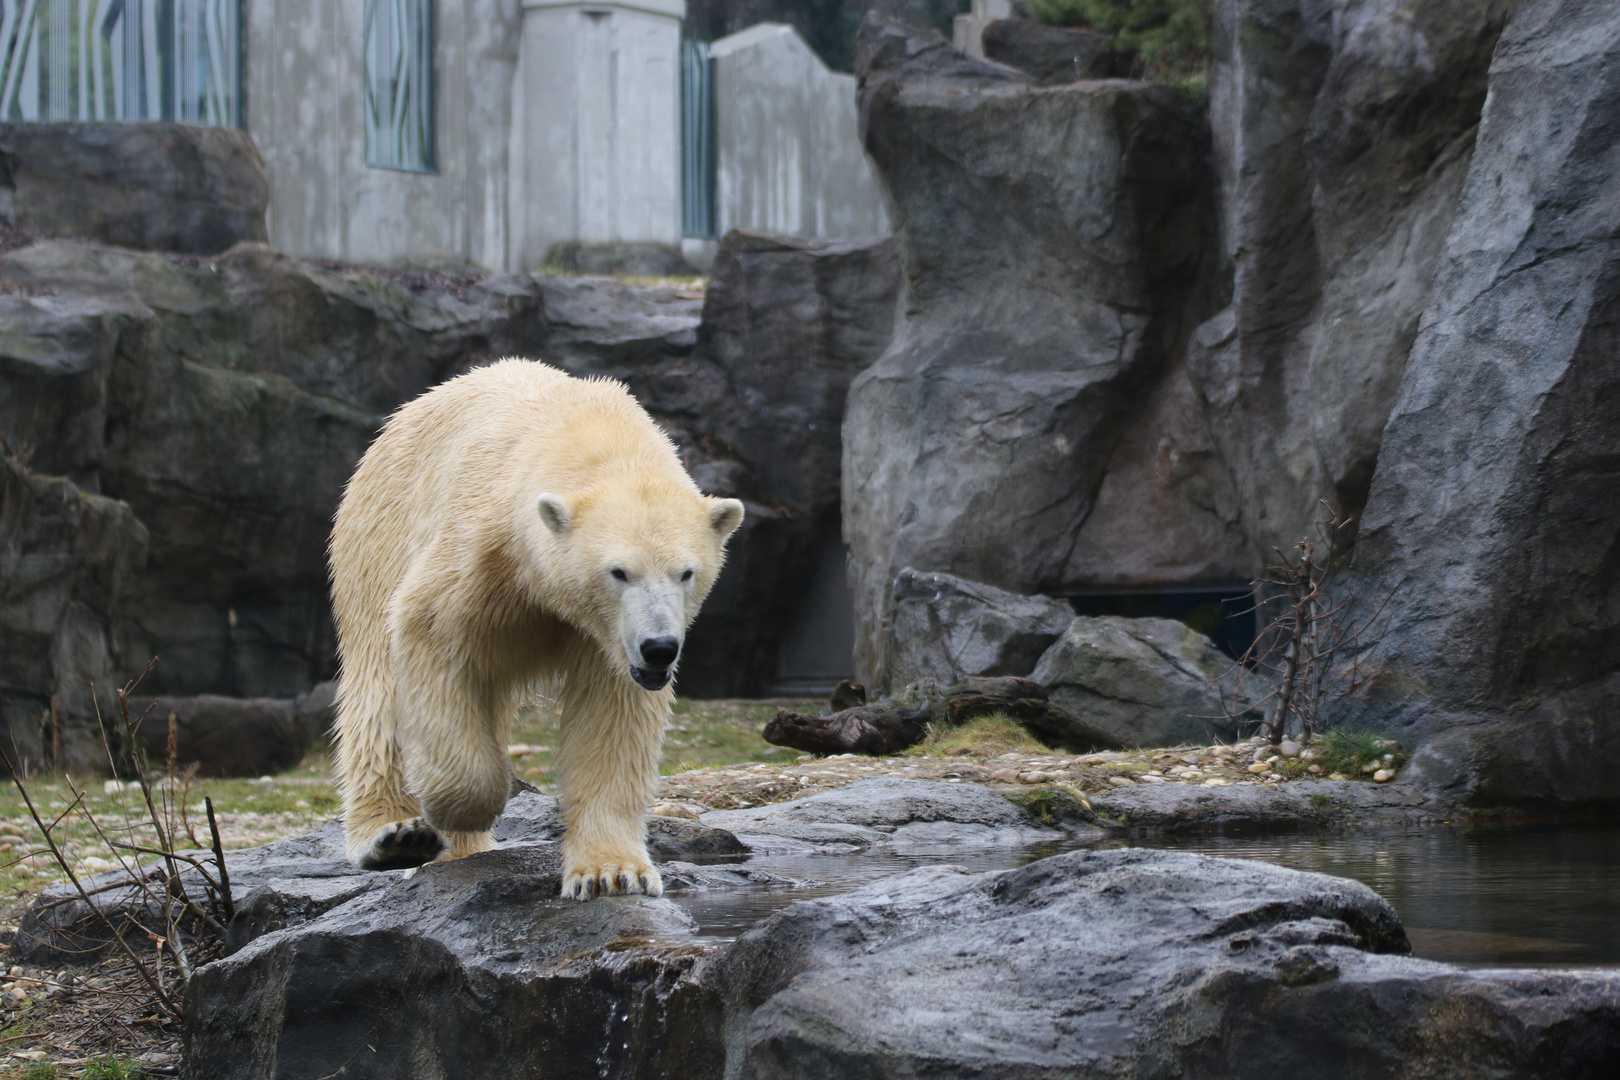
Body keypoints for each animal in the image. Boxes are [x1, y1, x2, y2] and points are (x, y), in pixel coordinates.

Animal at [328, 359, 745, 900]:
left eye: (686, 572)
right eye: (618, 572)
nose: (659, 648)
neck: (589, 435)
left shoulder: (609, 640)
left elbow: (612, 718)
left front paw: (612, 872)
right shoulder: (482, 551)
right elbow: (429, 632)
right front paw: (464, 805)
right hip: (377, 534)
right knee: (376, 687)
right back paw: (397, 835)